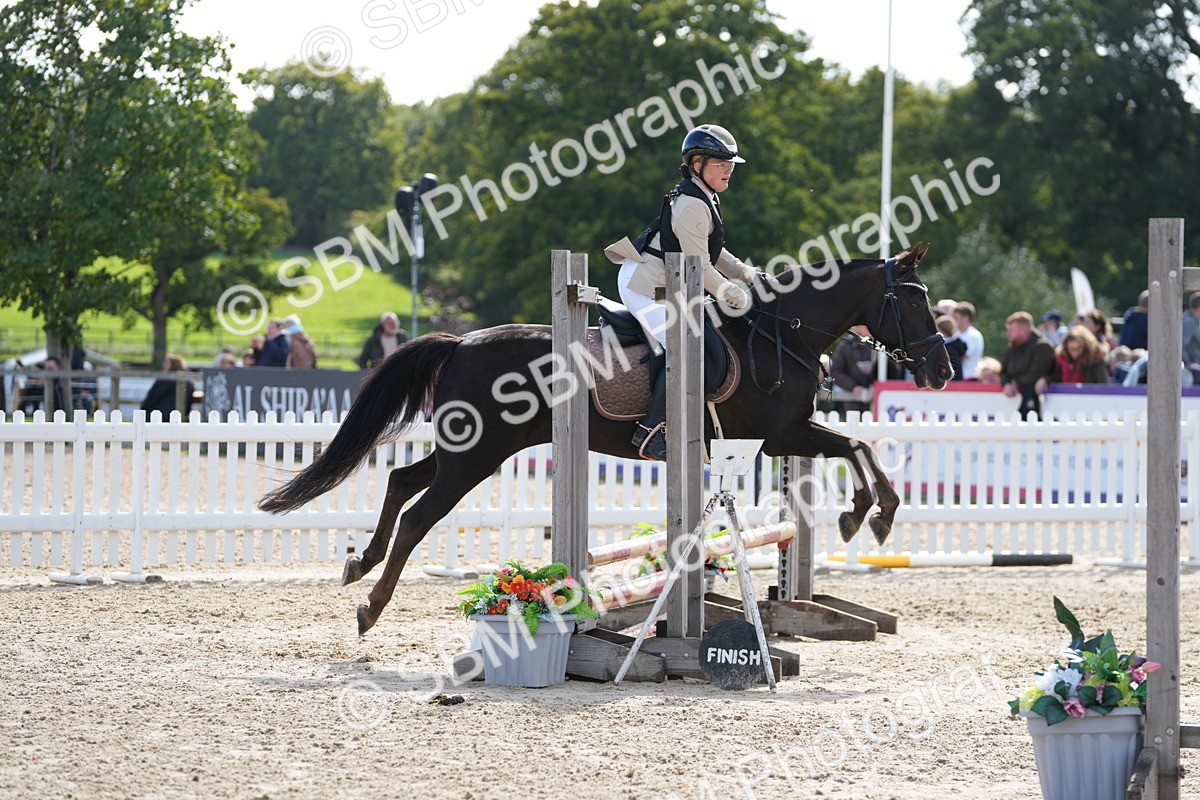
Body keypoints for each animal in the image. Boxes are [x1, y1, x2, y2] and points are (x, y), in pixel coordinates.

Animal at [260, 245, 952, 634]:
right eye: (918, 301)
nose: (942, 371)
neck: (782, 333)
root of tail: (460, 341)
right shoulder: (785, 435)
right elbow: (857, 449)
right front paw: (872, 515)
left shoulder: (782, 442)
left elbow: (856, 448)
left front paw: (865, 514)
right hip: (476, 456)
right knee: (417, 516)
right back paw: (370, 607)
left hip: (473, 449)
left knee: (402, 479)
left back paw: (359, 563)